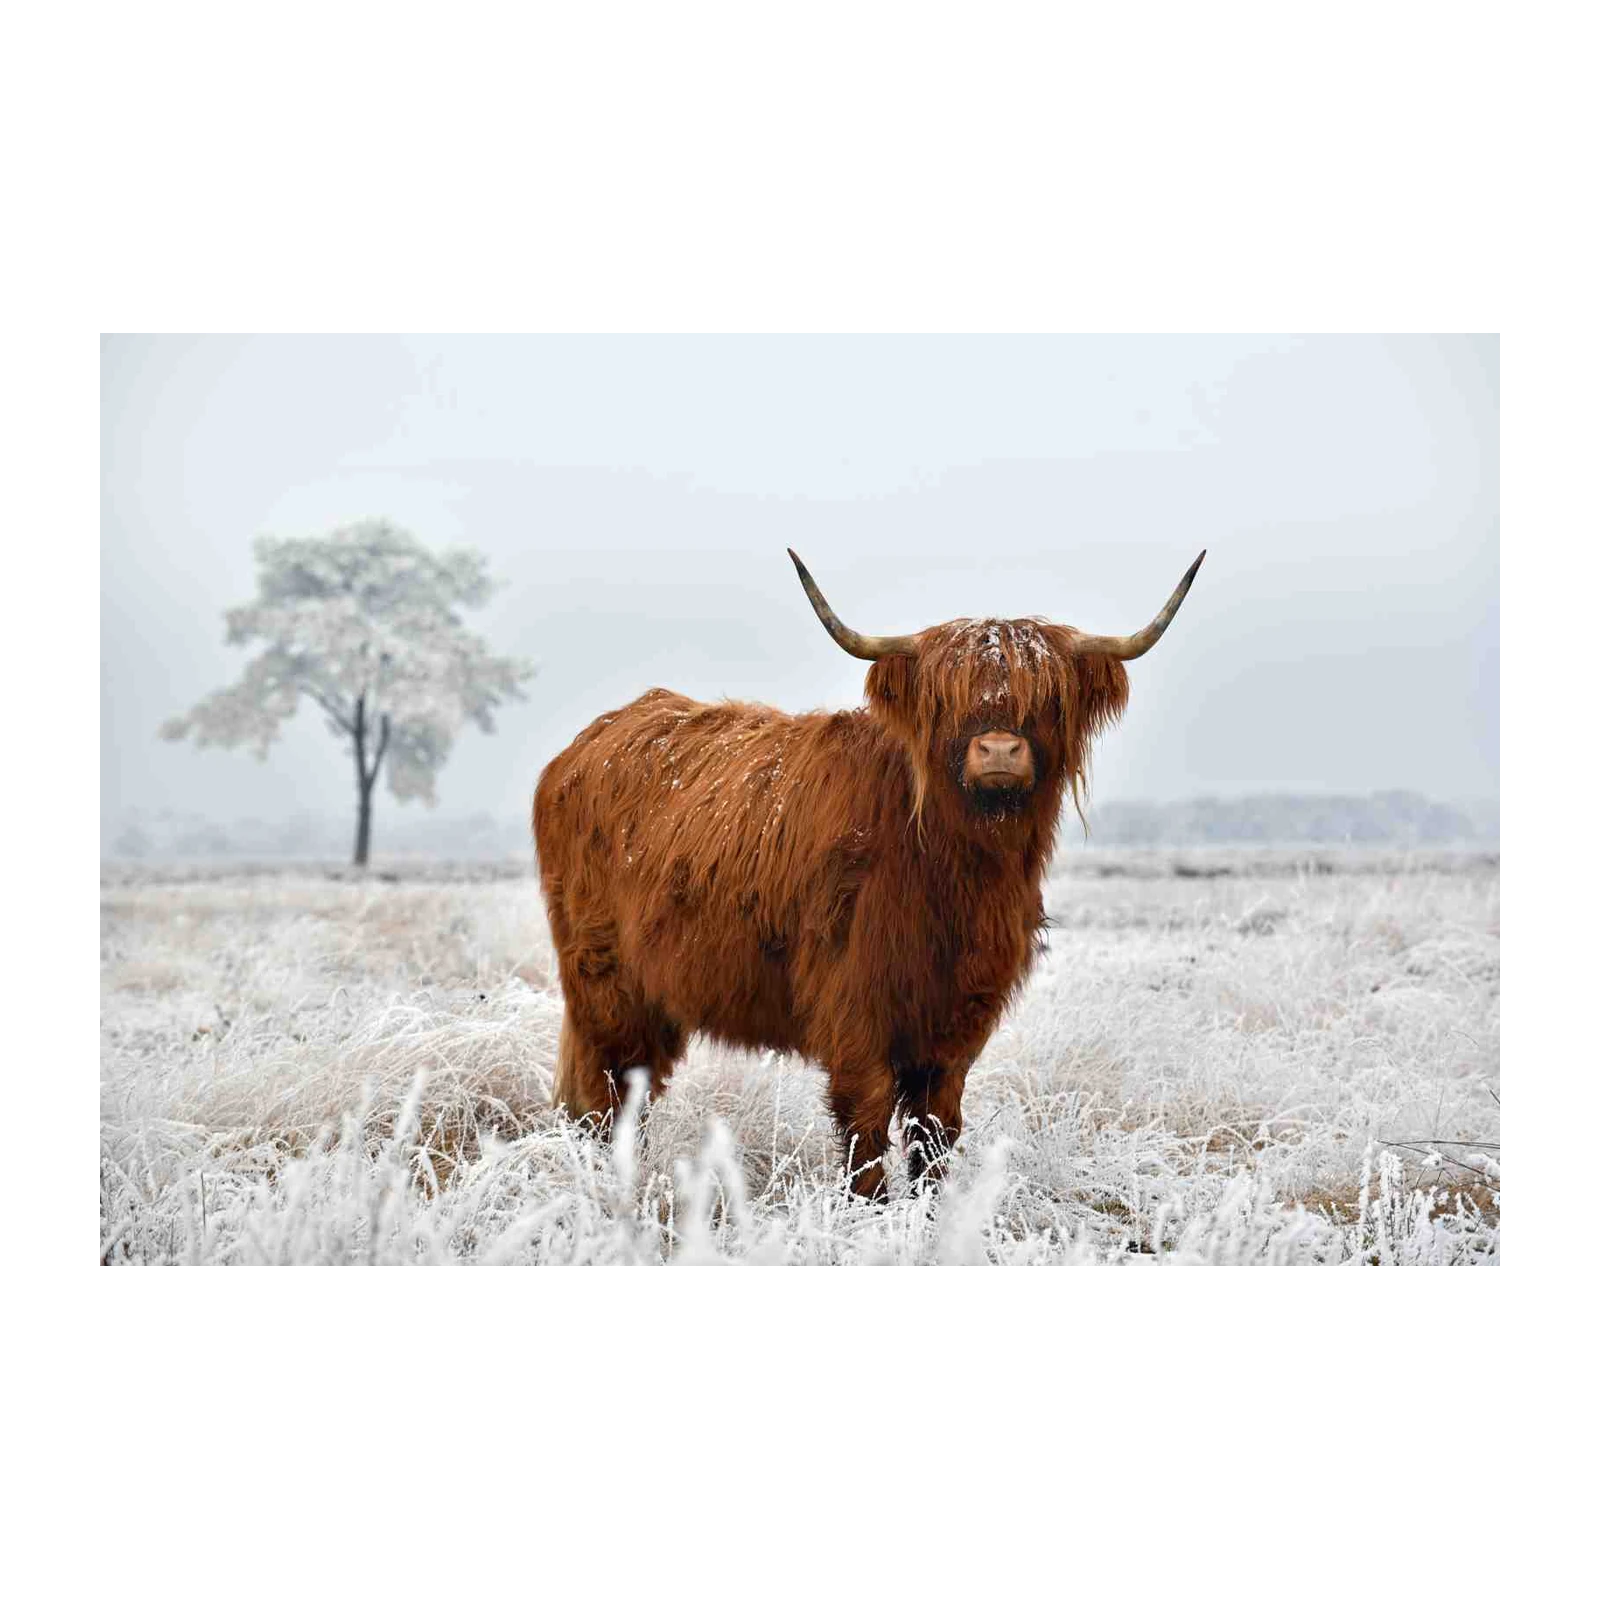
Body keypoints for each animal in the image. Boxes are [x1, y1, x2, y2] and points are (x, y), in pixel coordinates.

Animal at [532, 548, 1204, 1196]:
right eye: (945, 700)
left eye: (1047, 699)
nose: (998, 750)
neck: (955, 874)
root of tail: (588, 744)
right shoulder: (854, 1004)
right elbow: (866, 1124)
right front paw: (871, 1211)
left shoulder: (958, 1018)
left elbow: (936, 1129)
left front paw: (932, 1210)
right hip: (605, 983)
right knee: (606, 1092)